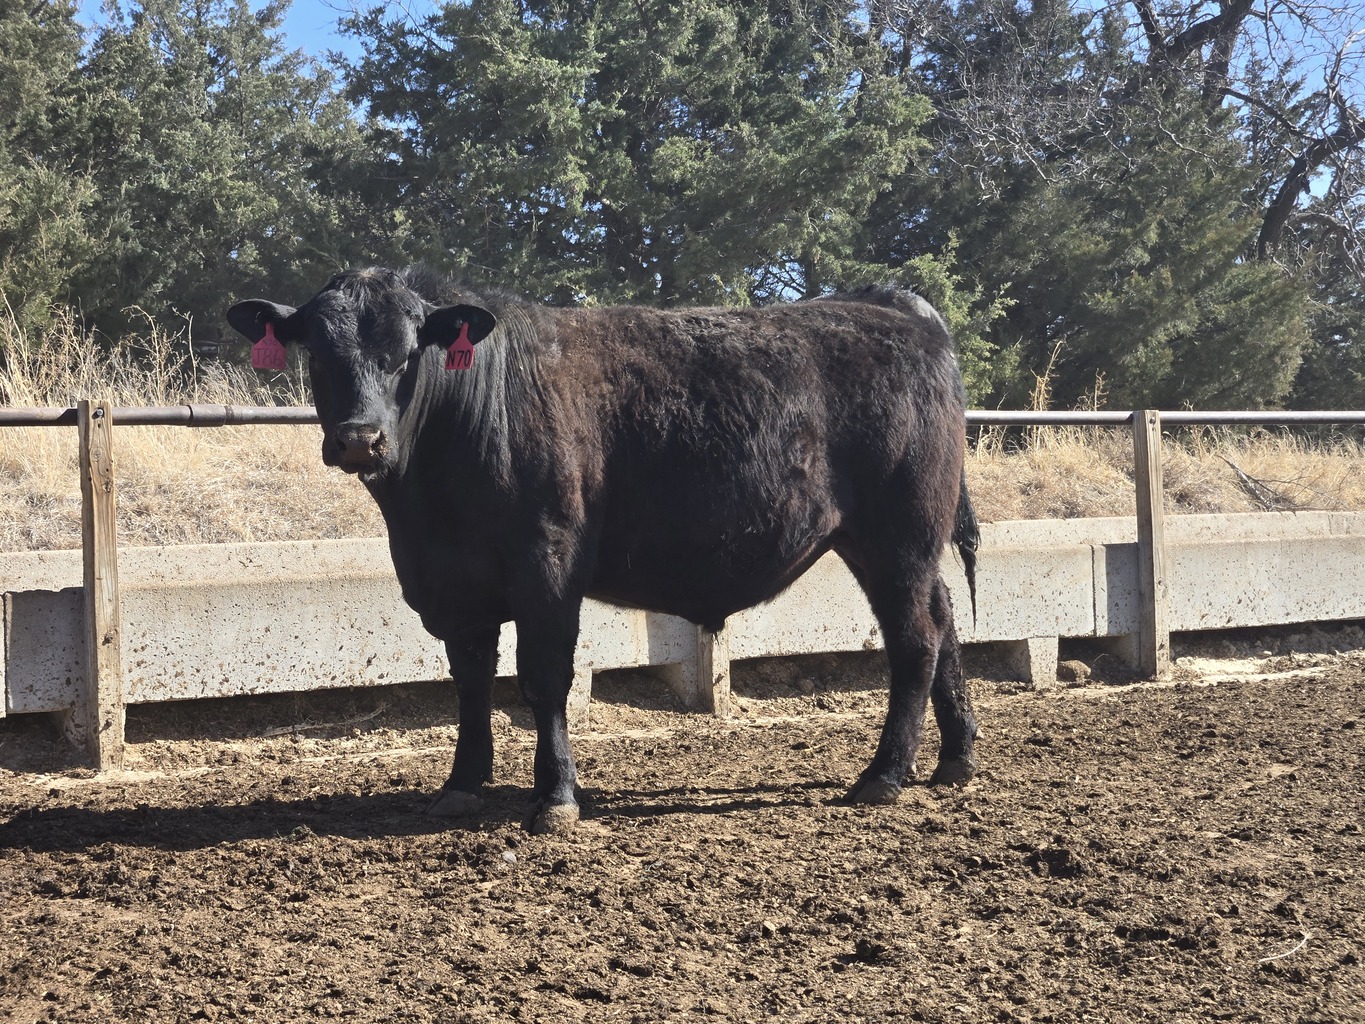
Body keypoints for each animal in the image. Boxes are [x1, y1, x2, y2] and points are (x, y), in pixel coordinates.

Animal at [227, 267, 981, 834]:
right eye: (318, 353)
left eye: (408, 353)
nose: (360, 439)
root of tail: (899, 309)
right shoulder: (456, 584)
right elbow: (470, 682)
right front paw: (462, 784)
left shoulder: (548, 564)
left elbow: (543, 678)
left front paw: (556, 798)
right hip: (898, 545)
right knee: (944, 623)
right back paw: (955, 761)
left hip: (899, 536)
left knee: (915, 638)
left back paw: (883, 775)